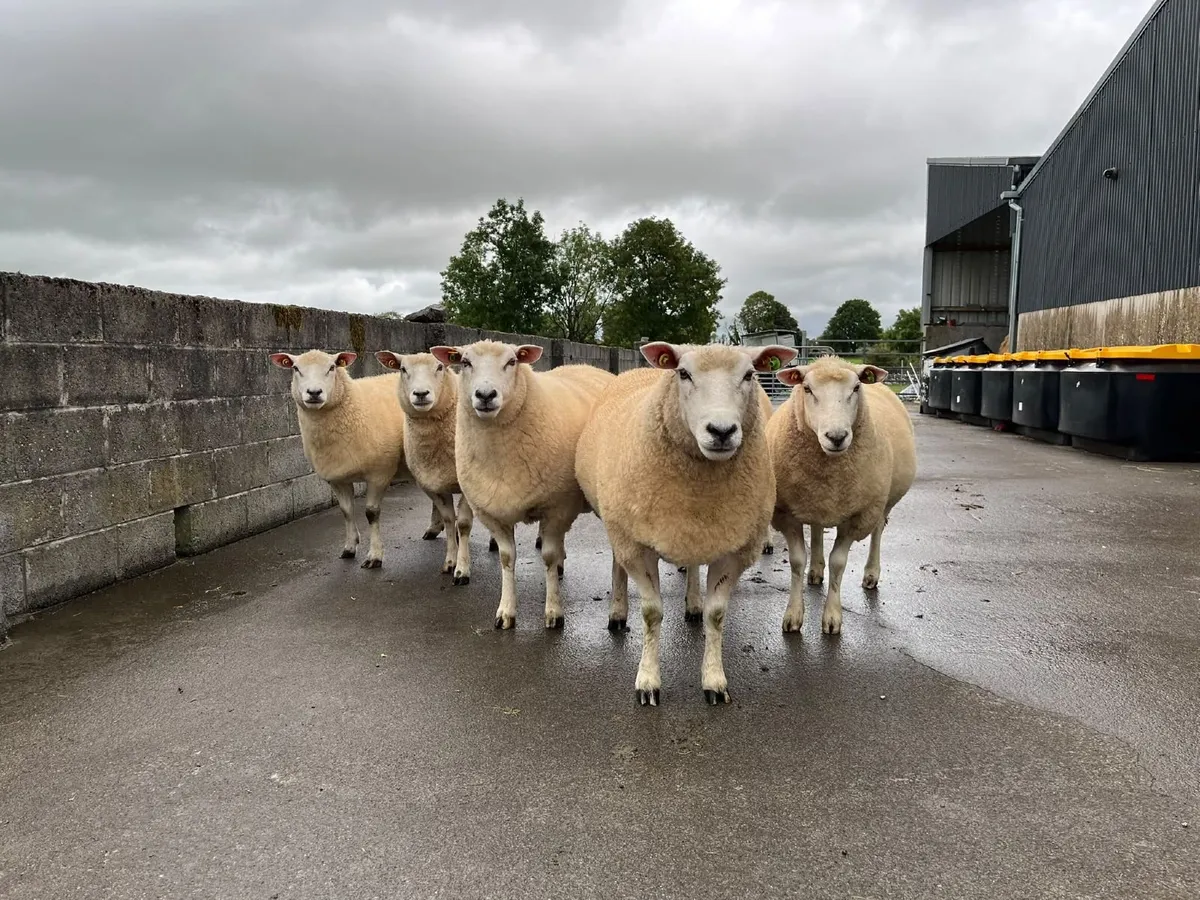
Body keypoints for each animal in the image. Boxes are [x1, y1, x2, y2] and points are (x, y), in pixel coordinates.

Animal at [268, 348, 407, 569]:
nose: (314, 393)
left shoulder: (379, 473)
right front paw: (349, 548)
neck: (354, 405)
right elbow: (346, 511)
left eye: (332, 367)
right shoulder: (337, 477)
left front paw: (375, 556)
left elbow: (371, 513)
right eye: (296, 368)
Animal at [374, 350, 475, 585]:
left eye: (440, 367)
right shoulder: (434, 485)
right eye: (403, 369)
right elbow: (449, 520)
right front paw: (450, 561)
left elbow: (464, 523)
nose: (421, 394)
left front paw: (462, 570)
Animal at [430, 340, 615, 630]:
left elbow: (548, 556)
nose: (485, 395)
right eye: (465, 362)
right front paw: (506, 611)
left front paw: (553, 612)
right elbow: (507, 558)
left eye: (512, 361)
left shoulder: (557, 507)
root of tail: (585, 365)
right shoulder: (493, 512)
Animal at [575, 340, 798, 706]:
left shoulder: (730, 545)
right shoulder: (637, 545)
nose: (721, 431)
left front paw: (714, 681)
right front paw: (648, 682)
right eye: (683, 373)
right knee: (618, 564)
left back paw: (692, 603)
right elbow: (652, 613)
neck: (699, 488)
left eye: (750, 374)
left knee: (692, 566)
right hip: (619, 524)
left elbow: (716, 615)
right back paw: (618, 611)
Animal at [768, 355, 917, 635]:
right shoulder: (787, 512)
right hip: (817, 502)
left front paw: (832, 617)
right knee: (817, 528)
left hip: (881, 502)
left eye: (856, 388)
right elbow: (796, 561)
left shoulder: (858, 516)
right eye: (807, 389)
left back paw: (871, 574)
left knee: (878, 531)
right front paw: (793, 615)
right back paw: (816, 571)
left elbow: (838, 562)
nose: (836, 437)